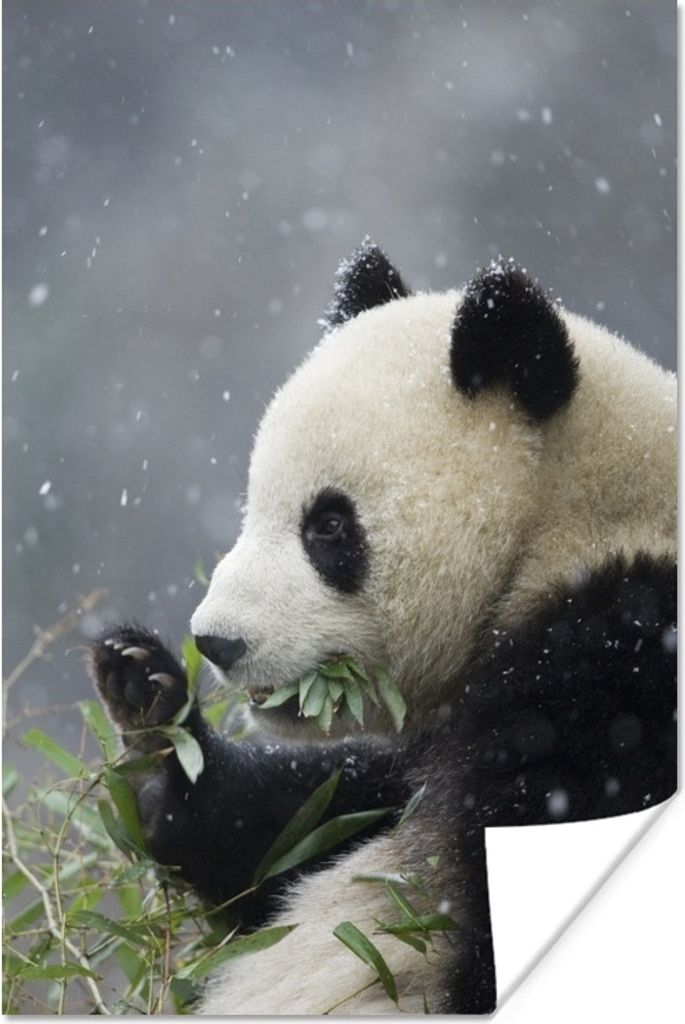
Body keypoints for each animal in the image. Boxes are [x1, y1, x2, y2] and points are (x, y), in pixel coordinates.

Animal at [90, 239, 676, 1015]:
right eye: (252, 502)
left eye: (328, 526)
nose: (217, 641)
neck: (563, 534)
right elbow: (319, 822)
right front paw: (153, 728)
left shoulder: (619, 674)